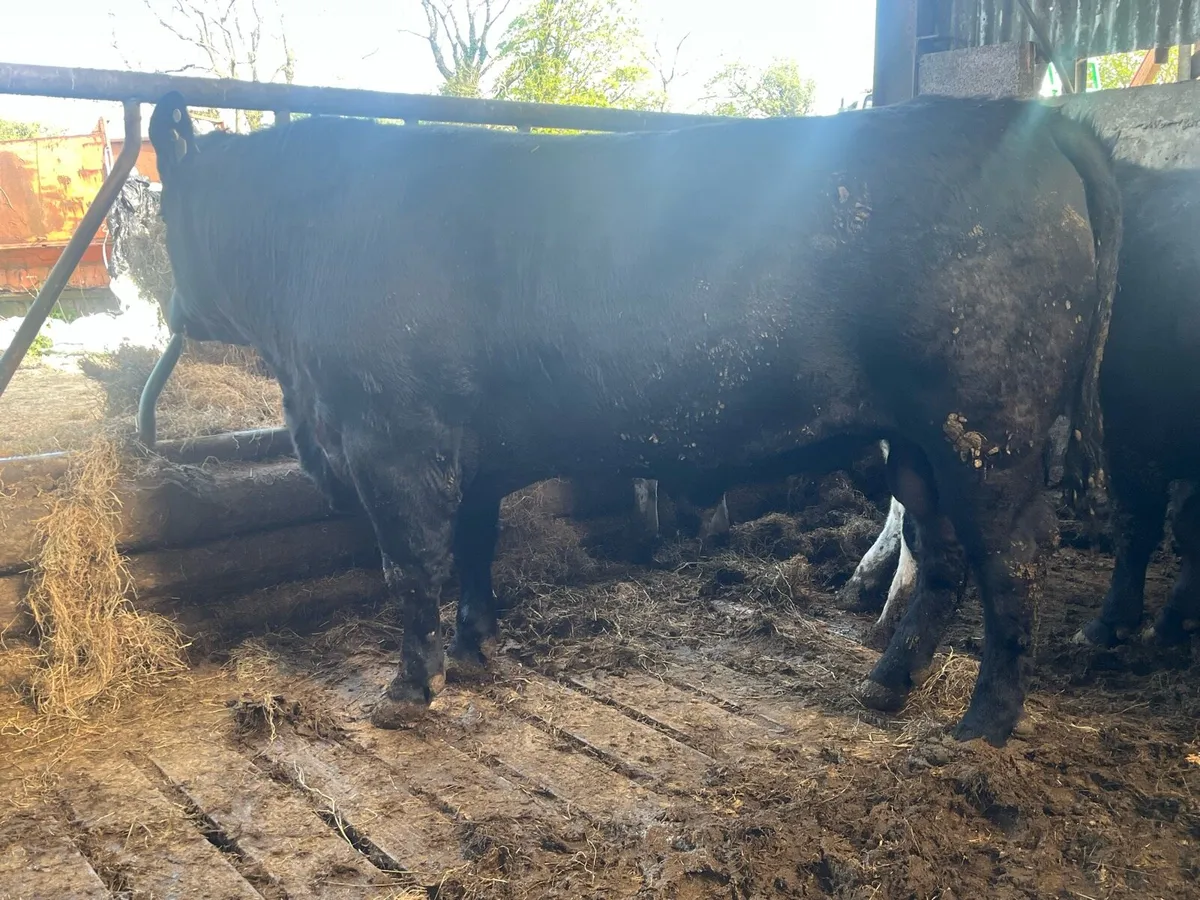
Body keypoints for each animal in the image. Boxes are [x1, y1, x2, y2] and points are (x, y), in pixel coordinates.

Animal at [148, 91, 1119, 746]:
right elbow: (474, 547)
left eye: (165, 211)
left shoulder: (393, 442)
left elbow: (410, 567)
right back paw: (887, 682)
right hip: (916, 444)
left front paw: (408, 688)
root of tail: (1027, 120)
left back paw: (985, 722)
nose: (173, 306)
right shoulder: (470, 451)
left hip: (988, 432)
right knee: (942, 554)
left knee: (1014, 558)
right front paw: (474, 649)